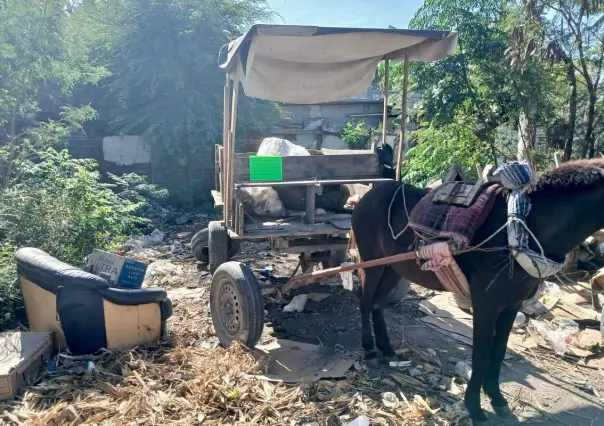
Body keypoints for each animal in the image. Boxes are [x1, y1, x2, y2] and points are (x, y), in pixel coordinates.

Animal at [346, 159, 604, 422]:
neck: (521, 227)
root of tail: (367, 196)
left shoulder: (512, 304)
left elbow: (498, 352)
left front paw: (497, 399)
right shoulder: (485, 304)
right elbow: (480, 356)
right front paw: (475, 407)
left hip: (393, 267)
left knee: (377, 304)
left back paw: (386, 350)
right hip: (371, 262)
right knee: (365, 302)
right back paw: (370, 352)